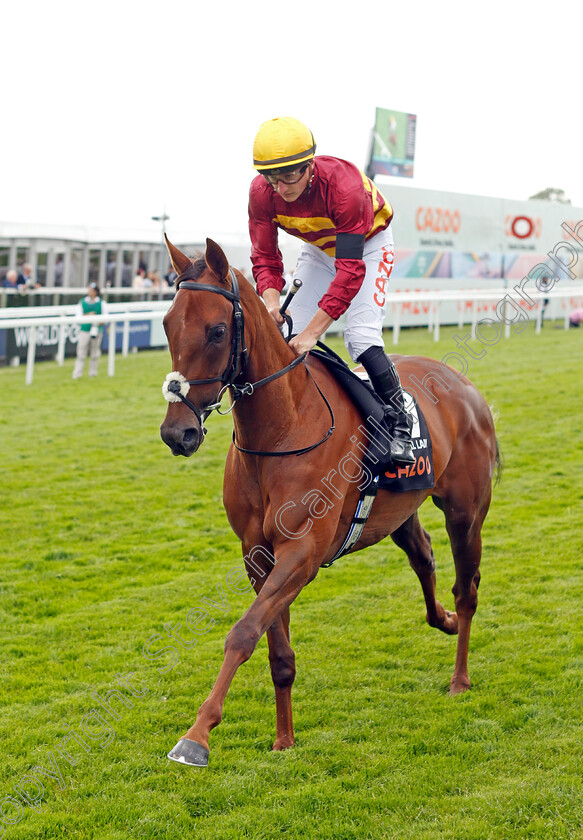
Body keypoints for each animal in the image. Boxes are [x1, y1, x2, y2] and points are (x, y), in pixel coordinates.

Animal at [161, 236, 502, 768]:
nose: (178, 433)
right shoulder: (258, 555)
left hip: (466, 514)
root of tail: (465, 386)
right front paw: (283, 739)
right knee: (423, 556)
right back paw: (442, 621)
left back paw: (460, 677)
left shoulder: (302, 553)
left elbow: (242, 633)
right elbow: (276, 651)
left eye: (217, 330)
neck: (282, 428)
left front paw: (196, 736)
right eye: (166, 324)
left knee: (466, 589)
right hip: (396, 511)